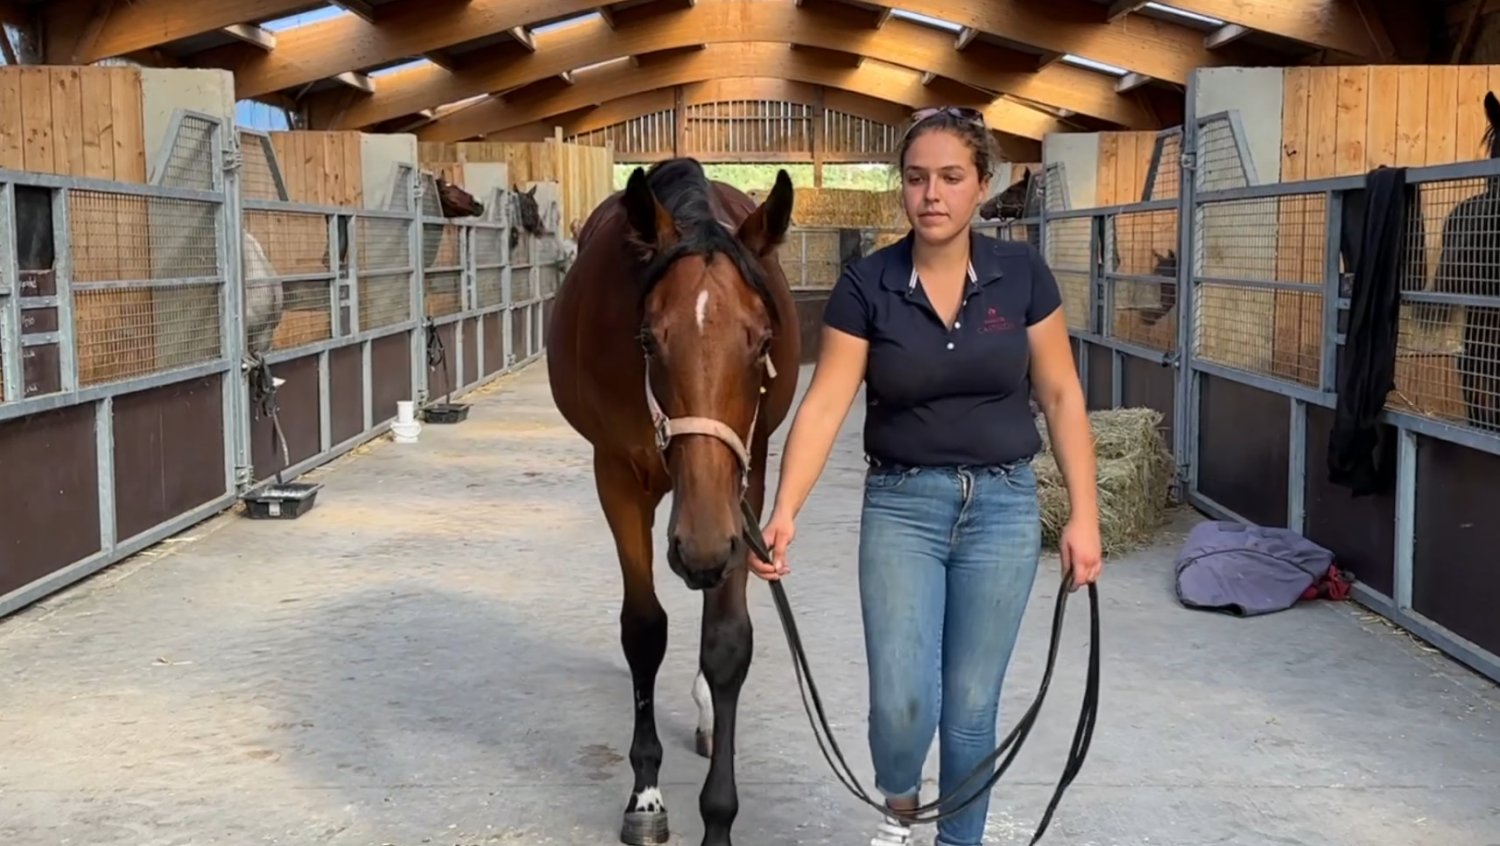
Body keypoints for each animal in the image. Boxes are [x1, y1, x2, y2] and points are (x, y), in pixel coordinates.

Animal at [546, 157, 800, 846]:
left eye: (761, 340)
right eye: (648, 341)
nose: (701, 549)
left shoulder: (745, 483)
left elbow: (727, 642)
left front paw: (719, 818)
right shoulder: (616, 477)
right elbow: (644, 629)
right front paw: (646, 793)